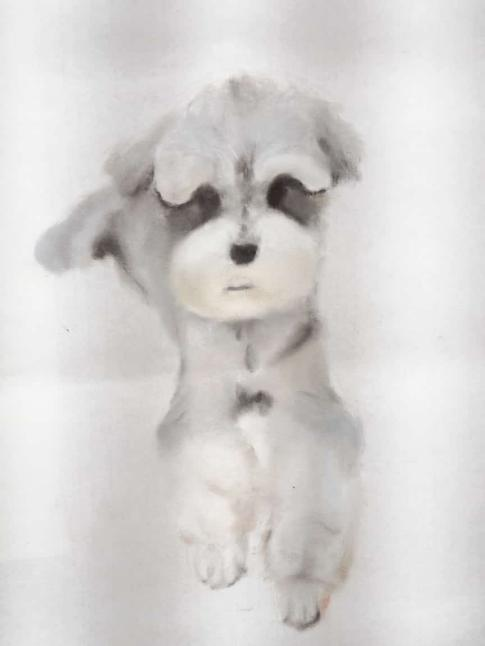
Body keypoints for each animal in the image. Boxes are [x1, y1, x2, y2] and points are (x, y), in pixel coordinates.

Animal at [35, 76, 363, 630]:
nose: (244, 250)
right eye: (205, 198)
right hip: (83, 233)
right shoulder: (201, 409)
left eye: (283, 190)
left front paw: (298, 584)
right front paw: (218, 554)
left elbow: (308, 494)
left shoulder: (309, 411)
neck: (246, 324)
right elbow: (215, 471)